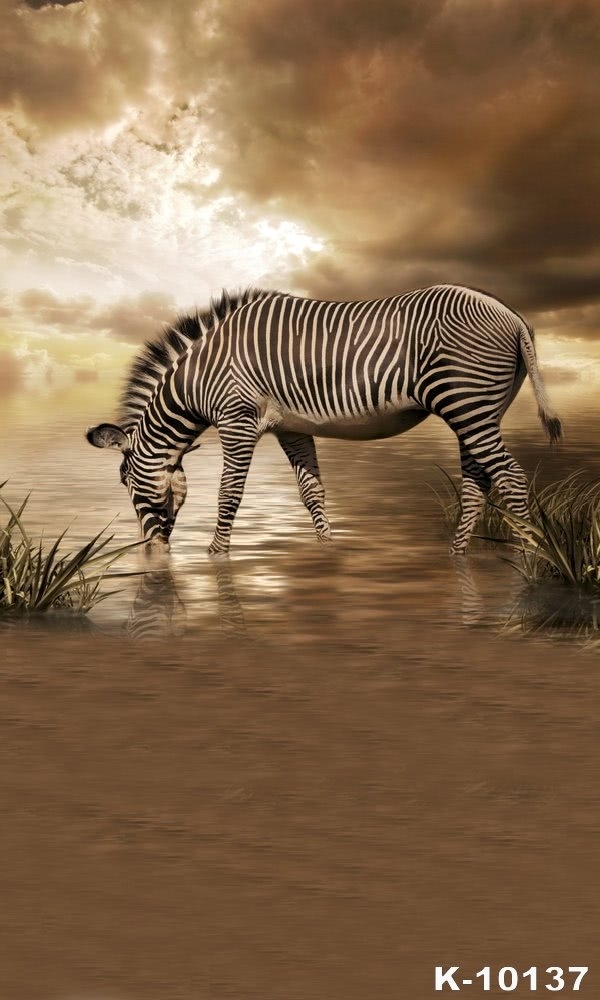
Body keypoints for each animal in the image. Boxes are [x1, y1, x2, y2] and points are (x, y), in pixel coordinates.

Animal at [86, 283, 561, 556]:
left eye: (125, 482)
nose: (153, 553)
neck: (199, 378)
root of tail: (511, 313)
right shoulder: (291, 426)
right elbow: (312, 492)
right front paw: (326, 549)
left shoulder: (237, 420)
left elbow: (229, 494)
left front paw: (215, 555)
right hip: (475, 410)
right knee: (478, 483)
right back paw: (458, 557)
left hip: (466, 401)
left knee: (510, 477)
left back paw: (531, 555)